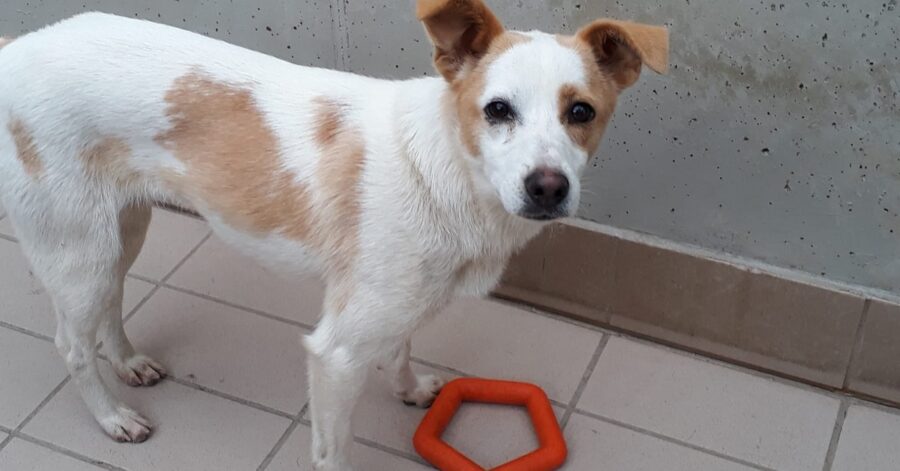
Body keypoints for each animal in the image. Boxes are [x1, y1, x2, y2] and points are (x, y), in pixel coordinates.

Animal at [0, 1, 668, 470]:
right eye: (497, 110)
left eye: (580, 112)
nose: (548, 187)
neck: (444, 169)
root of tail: (16, 46)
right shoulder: (337, 354)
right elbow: (333, 449)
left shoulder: (397, 305)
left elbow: (400, 350)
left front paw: (410, 389)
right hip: (75, 250)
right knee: (71, 343)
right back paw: (112, 417)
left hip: (119, 231)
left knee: (111, 303)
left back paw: (129, 362)